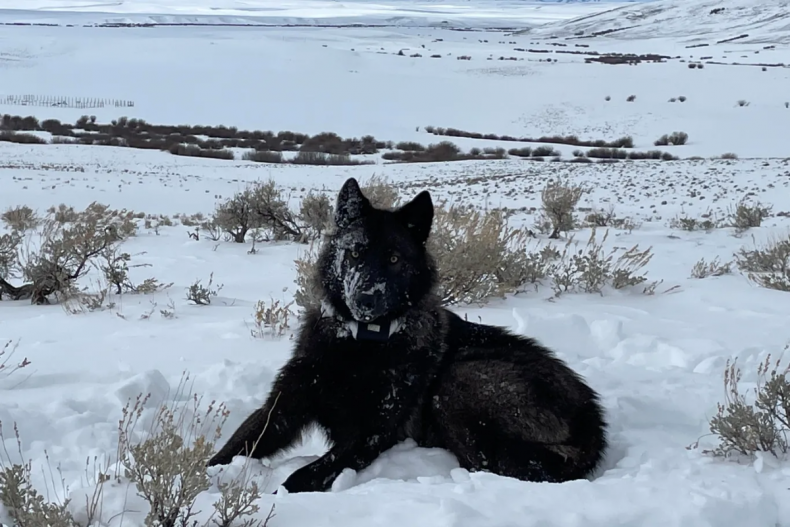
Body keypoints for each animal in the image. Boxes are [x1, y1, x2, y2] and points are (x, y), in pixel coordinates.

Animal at [207, 177, 608, 493]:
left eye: (394, 259)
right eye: (355, 252)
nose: (366, 298)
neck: (362, 345)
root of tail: (592, 422)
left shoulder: (372, 433)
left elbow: (303, 476)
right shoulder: (283, 407)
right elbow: (232, 448)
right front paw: (202, 481)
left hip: (460, 381)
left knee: (489, 463)